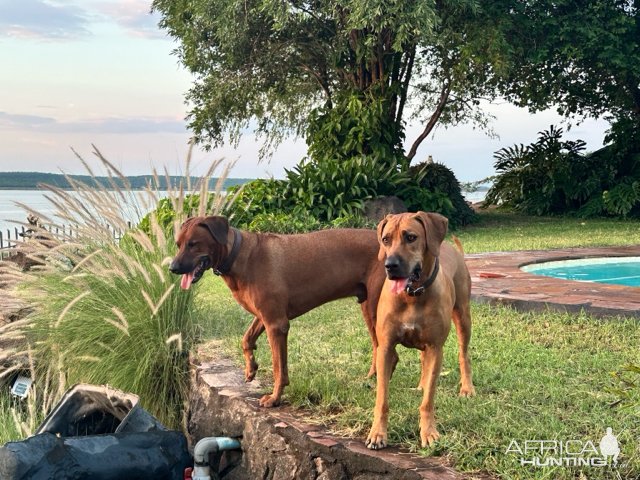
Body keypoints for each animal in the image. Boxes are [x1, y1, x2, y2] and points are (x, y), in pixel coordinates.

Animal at [168, 216, 384, 406]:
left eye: (193, 244)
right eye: (178, 244)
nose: (172, 268)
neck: (240, 256)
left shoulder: (276, 324)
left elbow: (278, 367)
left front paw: (274, 398)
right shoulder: (265, 315)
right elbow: (246, 339)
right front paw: (251, 368)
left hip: (375, 307)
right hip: (367, 306)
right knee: (376, 345)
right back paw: (371, 377)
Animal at [364, 212, 476, 448]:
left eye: (411, 237)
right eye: (385, 239)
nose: (390, 265)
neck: (411, 295)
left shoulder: (436, 347)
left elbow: (428, 401)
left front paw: (429, 432)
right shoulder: (385, 347)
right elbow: (382, 399)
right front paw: (377, 433)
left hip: (463, 316)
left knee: (464, 354)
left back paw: (467, 388)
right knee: (424, 360)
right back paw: (421, 385)